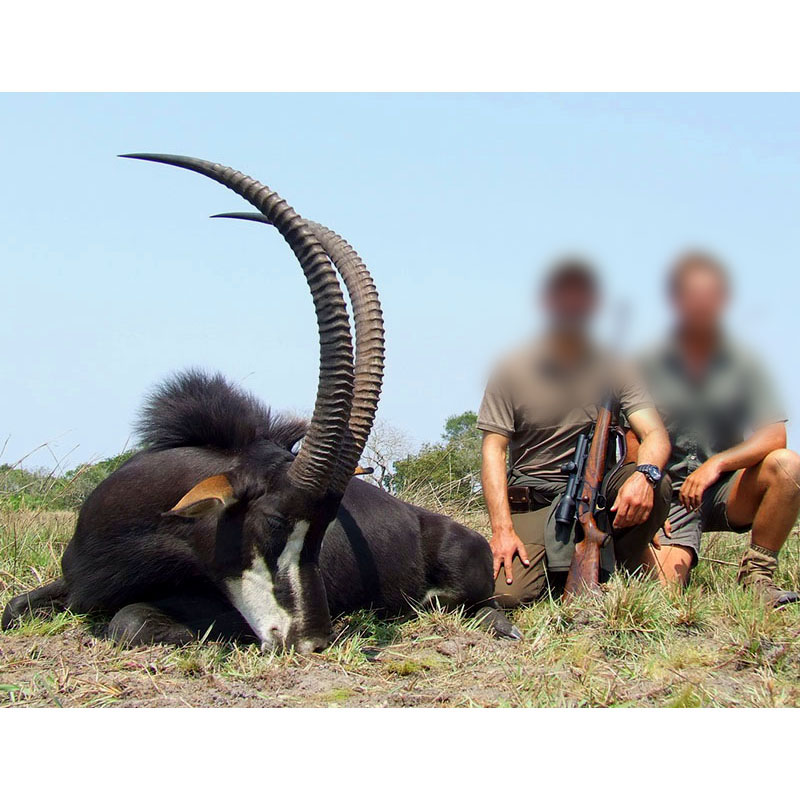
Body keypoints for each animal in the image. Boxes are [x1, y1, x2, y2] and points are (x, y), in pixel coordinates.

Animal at [3, 155, 520, 648]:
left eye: (323, 531)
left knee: (484, 605)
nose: (315, 639)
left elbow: (129, 620)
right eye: (274, 521)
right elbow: (14, 607)